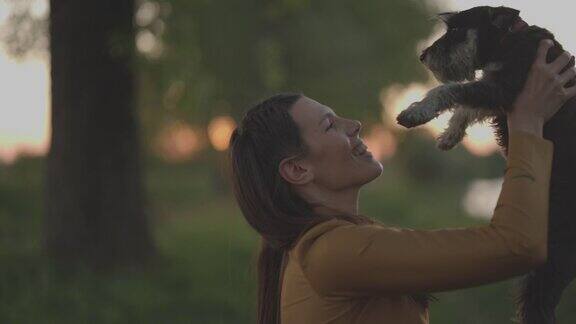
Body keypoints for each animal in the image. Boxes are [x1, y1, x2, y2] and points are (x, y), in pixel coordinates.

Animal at [396, 5, 576, 324]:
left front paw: (416, 112)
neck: (509, 41)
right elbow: (466, 107)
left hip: (554, 255)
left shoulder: (503, 88)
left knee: (538, 306)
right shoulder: (498, 95)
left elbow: (451, 90)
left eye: (457, 30)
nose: (423, 56)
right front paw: (450, 135)